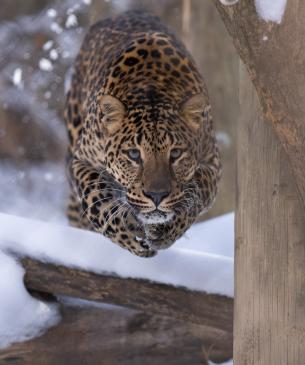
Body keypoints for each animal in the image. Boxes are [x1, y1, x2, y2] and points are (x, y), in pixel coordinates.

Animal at [65, 10, 220, 256]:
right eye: (134, 155)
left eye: (175, 154)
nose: (156, 196)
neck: (152, 88)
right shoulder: (81, 160)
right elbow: (95, 196)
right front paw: (128, 235)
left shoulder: (213, 162)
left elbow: (196, 190)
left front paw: (167, 229)